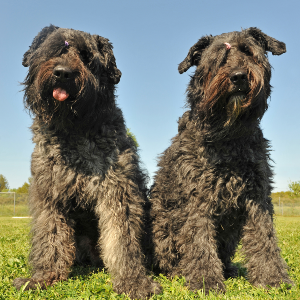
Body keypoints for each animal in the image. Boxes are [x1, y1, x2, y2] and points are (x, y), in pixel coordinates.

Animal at [13, 25, 162, 300]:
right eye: (55, 49)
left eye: (86, 56)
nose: (63, 73)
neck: (74, 130)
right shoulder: (49, 194)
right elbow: (50, 236)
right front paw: (43, 277)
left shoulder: (118, 192)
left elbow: (122, 240)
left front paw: (133, 282)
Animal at [150, 27, 292, 292]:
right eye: (218, 58)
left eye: (248, 51)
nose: (238, 76)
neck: (228, 136)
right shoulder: (197, 198)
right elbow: (199, 241)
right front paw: (205, 281)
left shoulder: (257, 195)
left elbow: (264, 237)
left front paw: (272, 278)